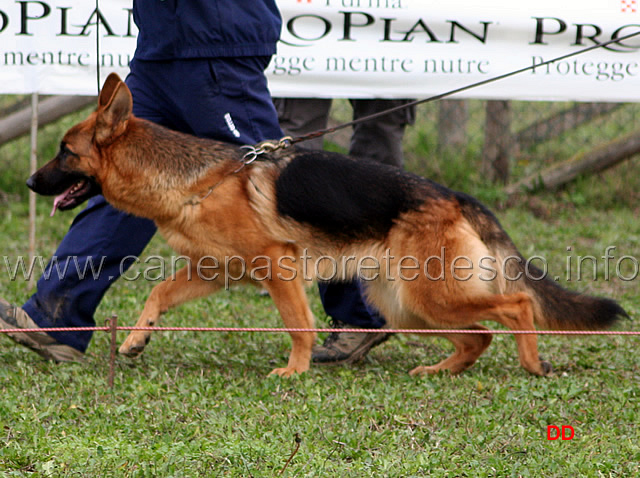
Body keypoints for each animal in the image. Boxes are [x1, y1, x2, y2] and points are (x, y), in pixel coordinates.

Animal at [28, 73, 624, 378]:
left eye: (65, 151)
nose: (33, 181)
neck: (196, 181)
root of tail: (454, 195)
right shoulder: (214, 272)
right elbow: (157, 293)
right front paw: (135, 340)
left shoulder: (277, 268)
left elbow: (299, 325)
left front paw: (294, 372)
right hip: (406, 306)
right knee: (478, 335)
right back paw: (440, 371)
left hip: (428, 295)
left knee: (516, 305)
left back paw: (531, 363)